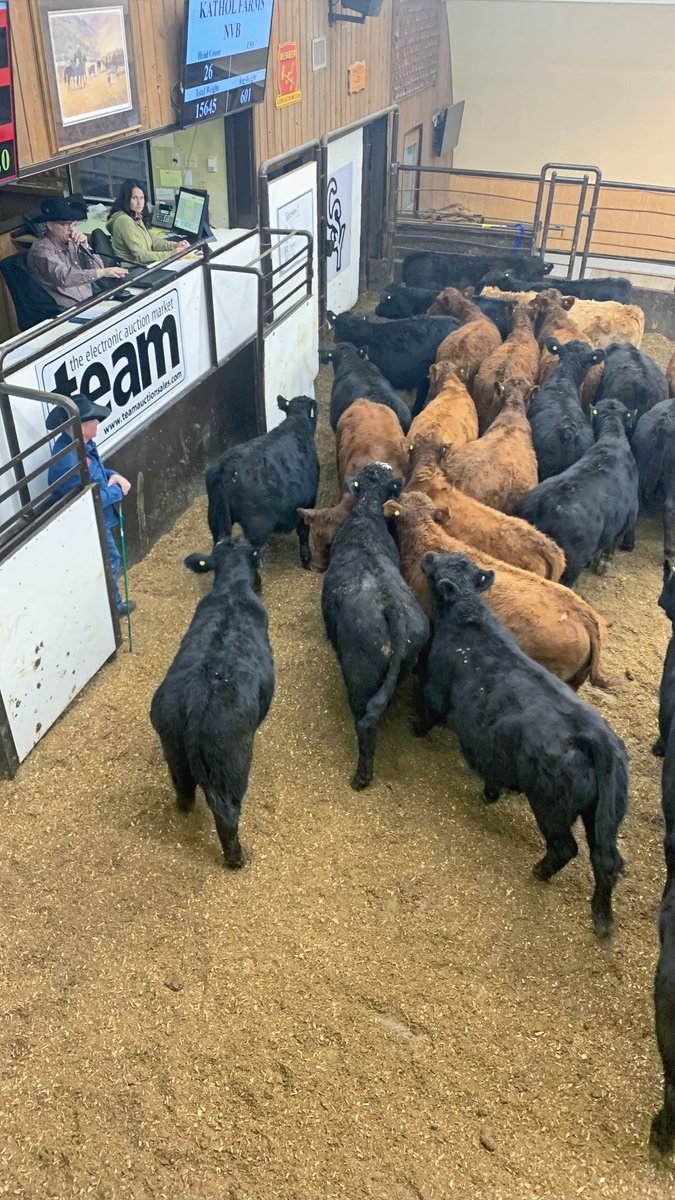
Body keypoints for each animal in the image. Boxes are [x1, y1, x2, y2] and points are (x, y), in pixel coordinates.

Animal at [149, 537, 275, 869]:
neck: (231, 591)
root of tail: (196, 699)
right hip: (231, 765)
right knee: (226, 812)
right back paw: (237, 858)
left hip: (173, 750)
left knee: (183, 789)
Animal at [205, 395, 319, 569]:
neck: (297, 424)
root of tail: (226, 467)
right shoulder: (308, 501)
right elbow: (304, 532)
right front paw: (306, 560)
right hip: (257, 527)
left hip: (215, 520)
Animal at [322, 463, 429, 789]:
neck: (367, 515)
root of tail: (392, 607)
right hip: (404, 664)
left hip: (359, 675)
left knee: (365, 724)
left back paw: (361, 777)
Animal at [414, 550, 627, 937]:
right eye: (455, 558)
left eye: (439, 567)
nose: (430, 554)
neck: (470, 622)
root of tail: (596, 739)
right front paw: (490, 791)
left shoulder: (435, 690)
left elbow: (428, 713)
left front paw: (416, 730)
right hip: (603, 814)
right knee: (606, 859)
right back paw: (602, 917)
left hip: (551, 807)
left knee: (566, 848)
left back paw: (540, 871)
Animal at [520, 398, 639, 586]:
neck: (613, 439)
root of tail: (545, 507)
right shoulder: (630, 513)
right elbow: (612, 542)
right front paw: (603, 563)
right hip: (572, 564)